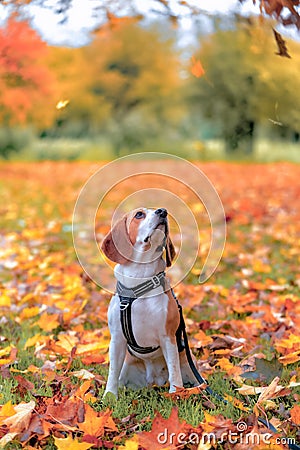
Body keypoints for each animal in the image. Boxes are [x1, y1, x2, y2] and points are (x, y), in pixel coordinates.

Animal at [102, 207, 198, 398]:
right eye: (139, 214)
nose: (163, 211)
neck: (141, 279)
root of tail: (154, 380)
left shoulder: (167, 337)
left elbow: (174, 369)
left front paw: (176, 393)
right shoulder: (117, 339)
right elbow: (112, 371)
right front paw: (109, 396)